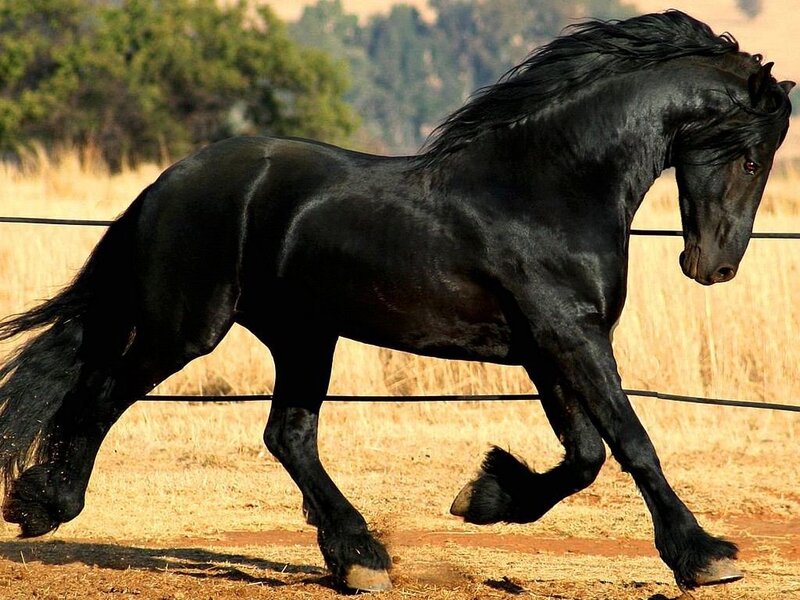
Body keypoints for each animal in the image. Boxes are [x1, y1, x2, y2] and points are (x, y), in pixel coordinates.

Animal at [0, 9, 792, 594]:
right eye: (752, 156)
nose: (714, 266)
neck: (549, 187)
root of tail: (167, 183)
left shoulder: (548, 349)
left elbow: (585, 456)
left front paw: (484, 497)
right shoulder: (571, 338)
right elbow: (632, 442)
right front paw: (706, 556)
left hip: (303, 336)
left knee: (286, 435)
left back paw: (358, 558)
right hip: (187, 327)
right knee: (102, 394)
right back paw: (41, 505)